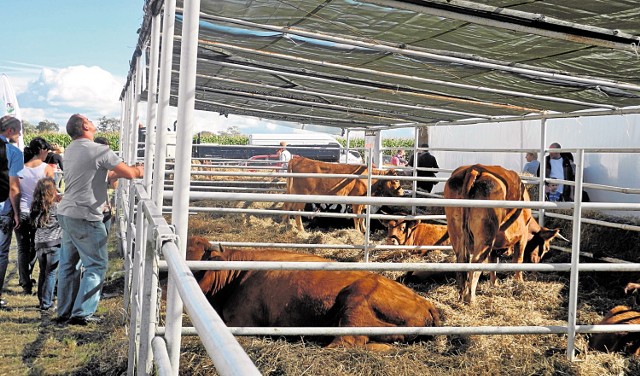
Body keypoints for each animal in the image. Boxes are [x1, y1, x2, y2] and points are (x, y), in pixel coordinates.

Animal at [442, 164, 564, 302]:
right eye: (547, 248)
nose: (536, 264)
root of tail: (474, 169)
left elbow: (493, 261)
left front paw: (494, 284)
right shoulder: (522, 237)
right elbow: (518, 260)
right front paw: (519, 282)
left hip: (456, 232)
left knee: (461, 260)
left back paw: (462, 295)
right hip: (486, 236)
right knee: (476, 263)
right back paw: (471, 298)